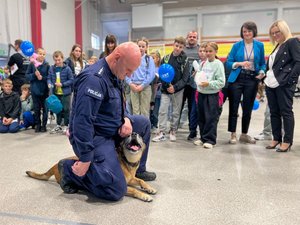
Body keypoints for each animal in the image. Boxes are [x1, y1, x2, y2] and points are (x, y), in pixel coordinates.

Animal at [26, 133, 157, 201]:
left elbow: (141, 180)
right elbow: (135, 189)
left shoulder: (131, 179)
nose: (133, 134)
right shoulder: (125, 185)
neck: (127, 161)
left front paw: (149, 188)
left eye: (140, 136)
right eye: (127, 136)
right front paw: (144, 195)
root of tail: (54, 166)